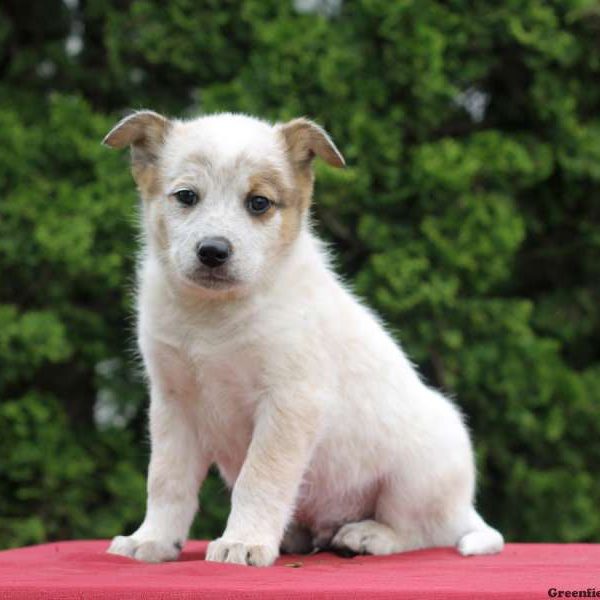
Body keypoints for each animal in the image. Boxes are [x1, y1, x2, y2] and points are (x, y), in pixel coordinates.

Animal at [103, 111, 502, 568]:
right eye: (186, 196)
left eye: (259, 203)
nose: (213, 251)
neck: (214, 316)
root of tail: (465, 508)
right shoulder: (174, 404)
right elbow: (166, 481)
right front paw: (152, 540)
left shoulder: (290, 402)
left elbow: (259, 478)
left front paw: (243, 542)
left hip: (418, 474)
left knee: (423, 530)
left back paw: (369, 536)